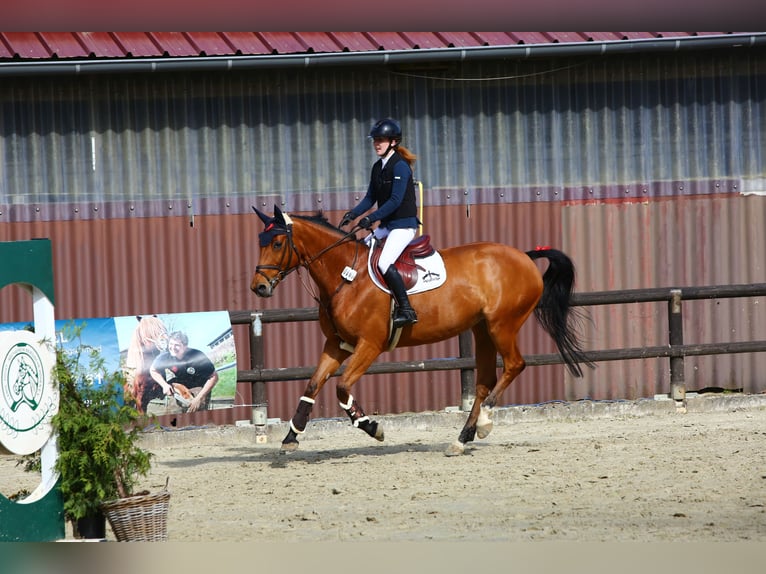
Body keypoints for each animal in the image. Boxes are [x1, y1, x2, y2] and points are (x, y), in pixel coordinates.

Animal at [252, 207, 592, 460]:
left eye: (278, 244)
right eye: (261, 242)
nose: (259, 287)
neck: (346, 276)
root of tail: (523, 255)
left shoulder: (370, 344)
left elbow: (342, 387)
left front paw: (371, 426)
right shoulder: (337, 344)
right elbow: (312, 385)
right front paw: (291, 437)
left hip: (502, 325)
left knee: (514, 365)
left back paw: (484, 423)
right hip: (482, 329)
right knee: (484, 382)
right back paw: (462, 438)